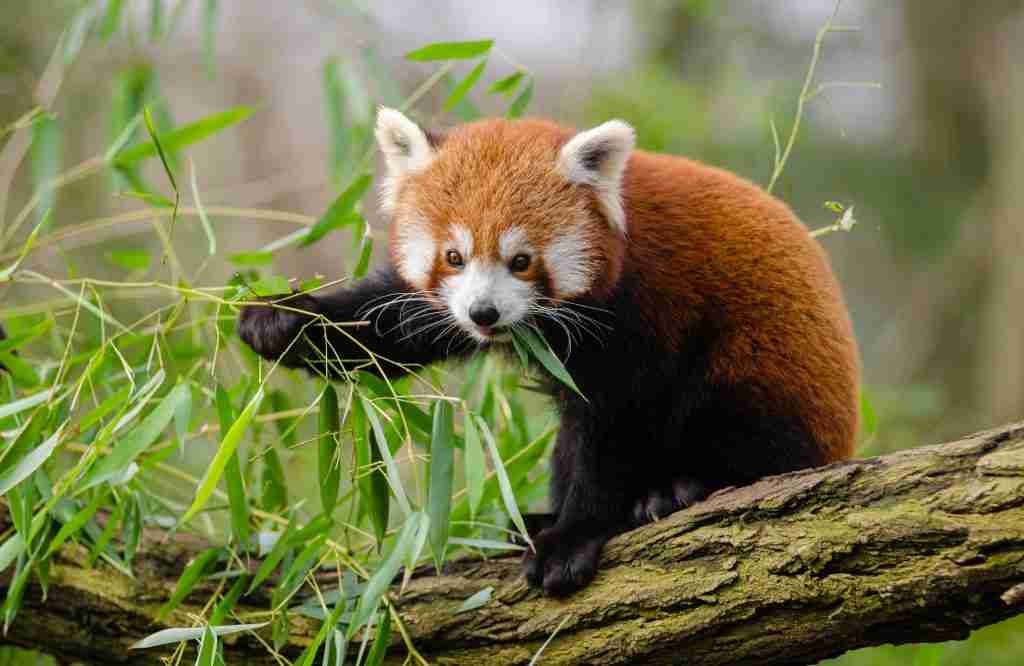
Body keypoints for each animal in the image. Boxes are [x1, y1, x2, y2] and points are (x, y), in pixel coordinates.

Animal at [237, 106, 856, 594]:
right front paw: (281, 320)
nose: (484, 314)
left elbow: (612, 430)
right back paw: (535, 519)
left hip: (766, 371)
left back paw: (681, 488)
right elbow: (390, 325)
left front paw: (575, 536)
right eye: (454, 257)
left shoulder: (642, 315)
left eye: (521, 261)